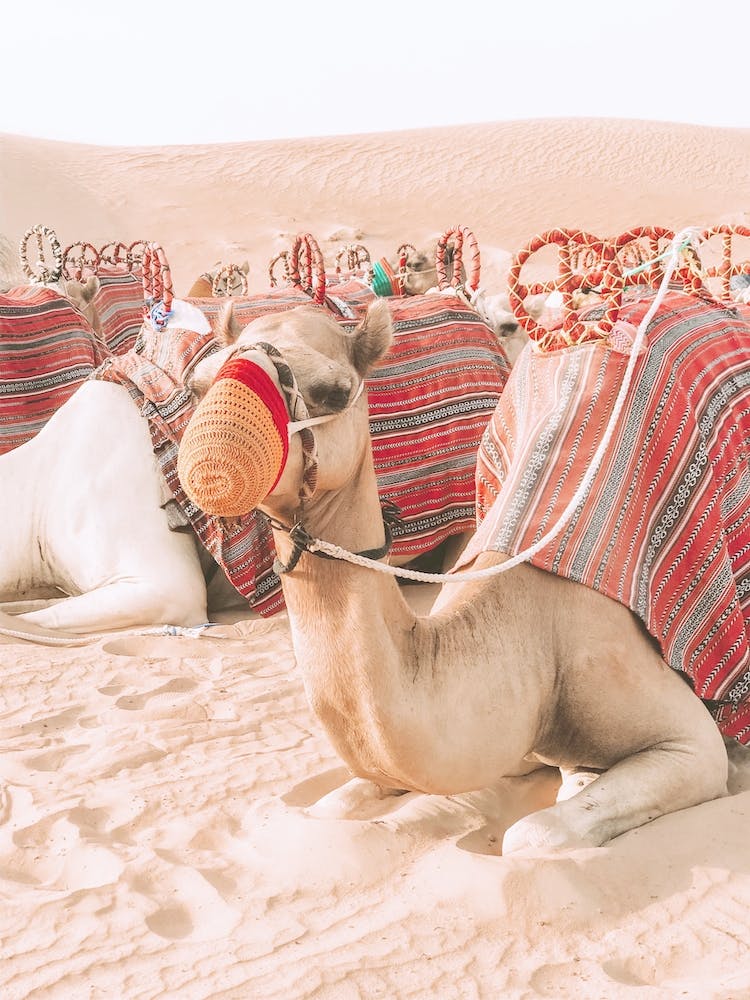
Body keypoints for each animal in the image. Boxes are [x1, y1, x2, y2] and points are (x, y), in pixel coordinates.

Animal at [174, 295, 738, 853]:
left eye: (333, 393)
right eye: (198, 385)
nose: (214, 457)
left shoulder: (680, 736)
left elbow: (531, 834)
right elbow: (330, 807)